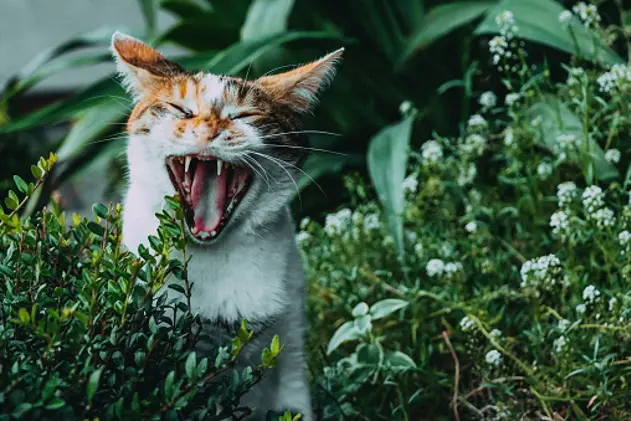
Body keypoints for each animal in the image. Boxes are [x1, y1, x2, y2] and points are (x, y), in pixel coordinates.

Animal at [111, 31, 344, 418]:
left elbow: (294, 401)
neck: (212, 255)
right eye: (182, 110)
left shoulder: (291, 339)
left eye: (243, 115)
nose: (208, 131)